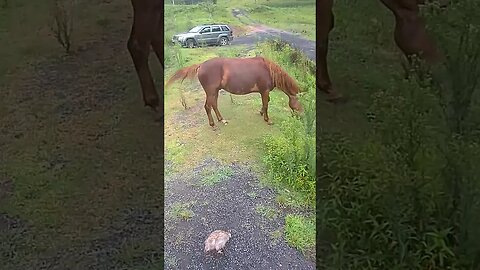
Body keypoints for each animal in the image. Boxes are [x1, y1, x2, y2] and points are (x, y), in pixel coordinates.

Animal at [165, 56, 304, 129]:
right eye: (300, 105)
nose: (300, 117)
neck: (269, 70)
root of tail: (201, 65)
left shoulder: (263, 92)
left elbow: (265, 103)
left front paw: (261, 113)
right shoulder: (264, 91)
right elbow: (266, 104)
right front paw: (267, 120)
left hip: (215, 92)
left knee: (214, 105)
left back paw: (221, 120)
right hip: (211, 92)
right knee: (208, 106)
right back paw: (212, 124)